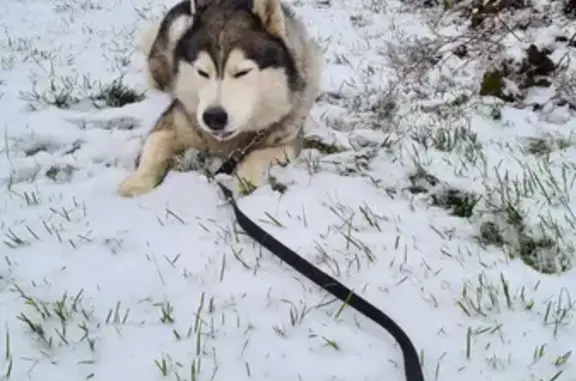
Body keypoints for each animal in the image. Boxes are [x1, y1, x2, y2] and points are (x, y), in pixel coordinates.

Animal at [118, 0, 322, 196]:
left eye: (242, 72)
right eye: (202, 72)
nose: (213, 117)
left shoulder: (289, 141)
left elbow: (258, 156)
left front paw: (243, 181)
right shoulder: (175, 119)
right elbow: (156, 142)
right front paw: (138, 181)